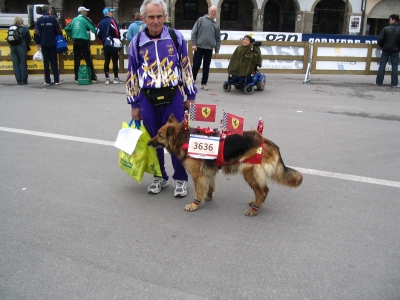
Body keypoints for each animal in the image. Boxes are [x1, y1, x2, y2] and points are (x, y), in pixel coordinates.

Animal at [148, 113, 304, 216]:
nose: (149, 143)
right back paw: (256, 203)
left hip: (248, 172)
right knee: (262, 190)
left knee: (263, 191)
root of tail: (270, 143)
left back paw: (255, 209)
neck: (184, 139)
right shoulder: (208, 172)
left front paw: (195, 204)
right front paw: (208, 196)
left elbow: (198, 191)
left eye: (159, 135)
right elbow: (209, 186)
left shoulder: (198, 175)